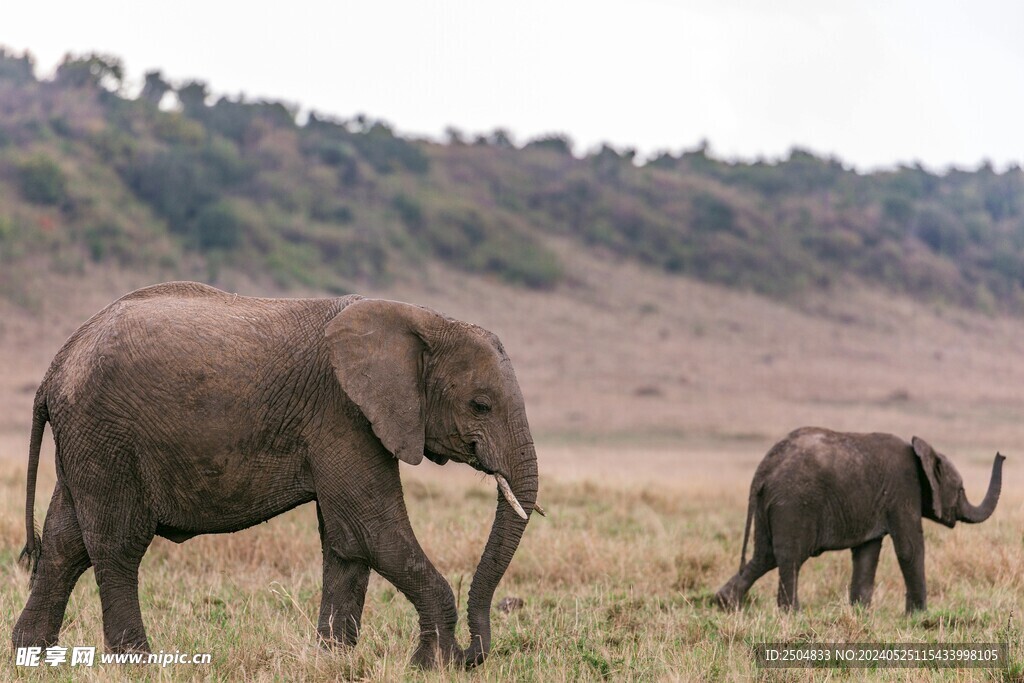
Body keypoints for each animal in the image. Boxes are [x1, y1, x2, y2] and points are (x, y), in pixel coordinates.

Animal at [12, 282, 540, 667]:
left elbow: (347, 542)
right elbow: (375, 532)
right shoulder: (343, 415)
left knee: (64, 544)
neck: (422, 319)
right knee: (116, 545)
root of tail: (57, 364)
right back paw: (139, 663)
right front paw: (434, 666)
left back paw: (30, 657)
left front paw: (333, 661)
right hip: (107, 436)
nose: (474, 654)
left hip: (87, 442)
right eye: (480, 405)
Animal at [716, 428, 1003, 614]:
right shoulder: (903, 490)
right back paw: (792, 613)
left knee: (764, 555)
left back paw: (725, 604)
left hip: (770, 504)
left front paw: (860, 613)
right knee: (790, 557)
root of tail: (764, 470)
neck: (924, 451)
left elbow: (867, 552)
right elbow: (910, 549)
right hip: (793, 503)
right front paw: (920, 616)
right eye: (961, 490)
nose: (1002, 455)